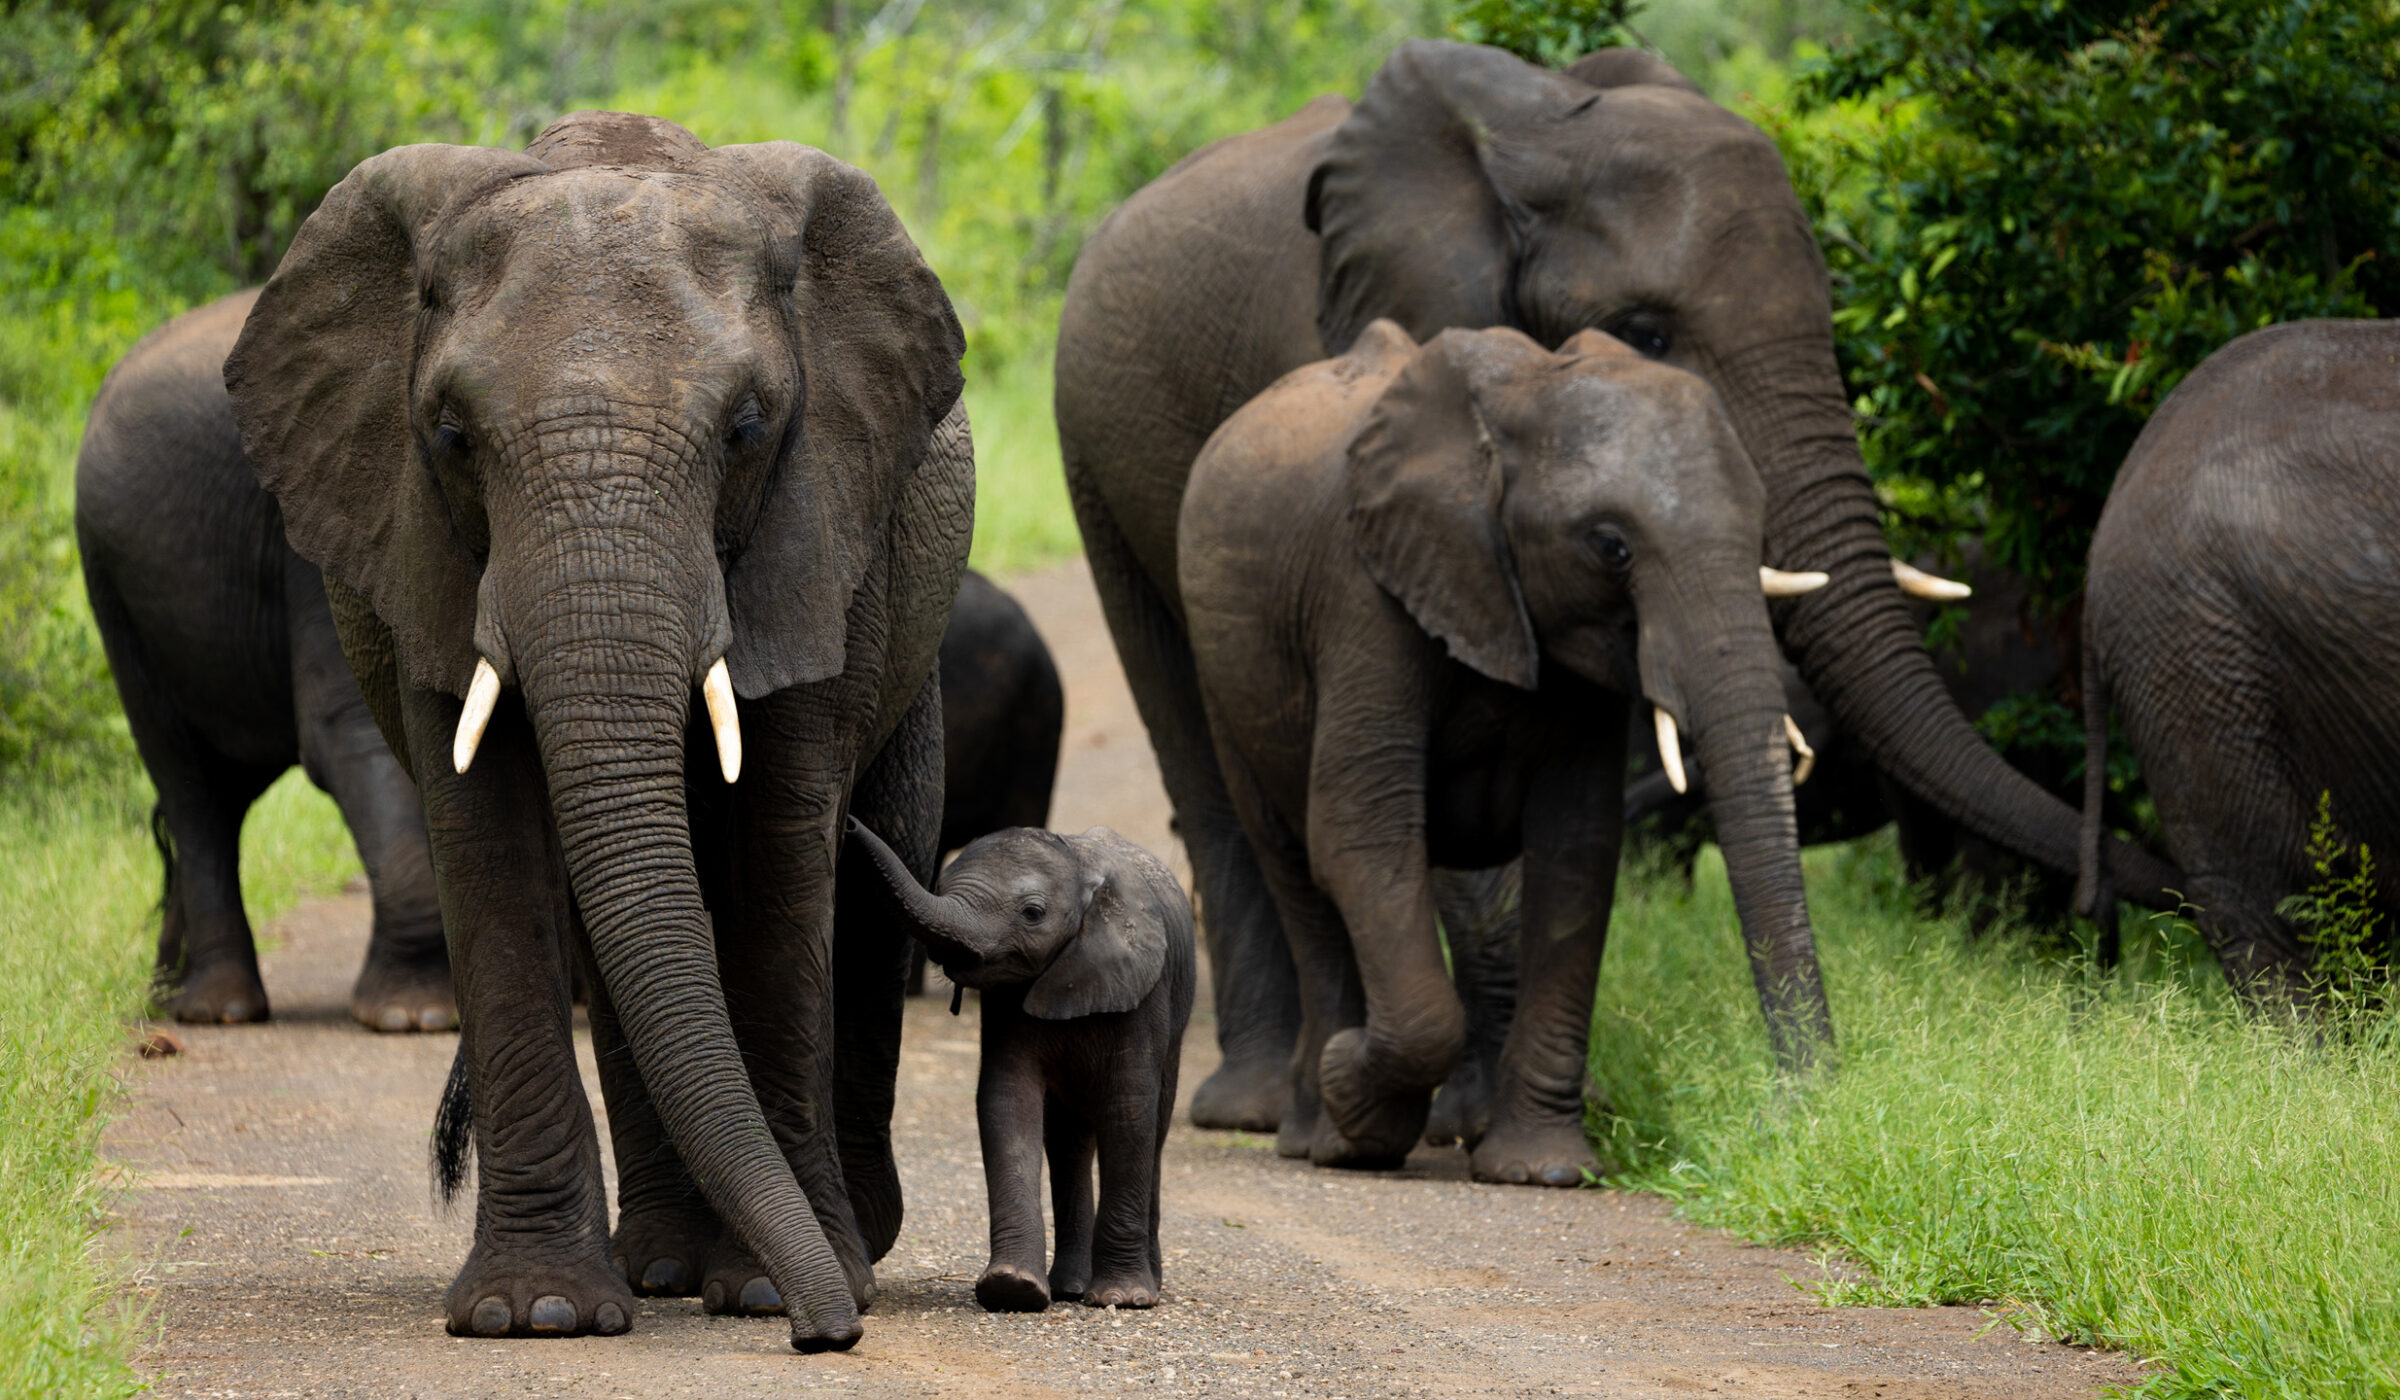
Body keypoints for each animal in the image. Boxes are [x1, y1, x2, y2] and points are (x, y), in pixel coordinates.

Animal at [75, 291, 451, 1031]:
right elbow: (349, 737)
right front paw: (412, 1018)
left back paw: (172, 995)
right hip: (112, 594)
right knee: (190, 785)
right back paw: (215, 1011)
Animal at [221, 111, 971, 1351]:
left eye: (748, 428)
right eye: (451, 435)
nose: (826, 1334)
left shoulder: (816, 520)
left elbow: (781, 849)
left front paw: (770, 1288)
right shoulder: (418, 547)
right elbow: (489, 845)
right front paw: (536, 1311)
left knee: (876, 878)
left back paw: (842, 1239)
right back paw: (663, 1264)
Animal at [845, 817, 1195, 1312]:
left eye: (1032, 913)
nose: (850, 824)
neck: (1080, 865)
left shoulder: (1144, 989)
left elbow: (1128, 1109)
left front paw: (1122, 1299)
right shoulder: (1007, 998)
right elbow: (1007, 1101)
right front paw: (1012, 1288)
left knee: (1155, 1130)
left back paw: (1141, 1286)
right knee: (1068, 1142)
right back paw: (1070, 1287)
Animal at [1178, 321, 1828, 1180]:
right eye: (1611, 546)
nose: (1790, 1111)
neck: (1524, 395)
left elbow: (1576, 852)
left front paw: (1542, 1170)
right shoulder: (1364, 595)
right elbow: (1360, 833)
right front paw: (1358, 1094)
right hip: (1224, 675)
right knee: (1294, 869)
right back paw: (1324, 1137)